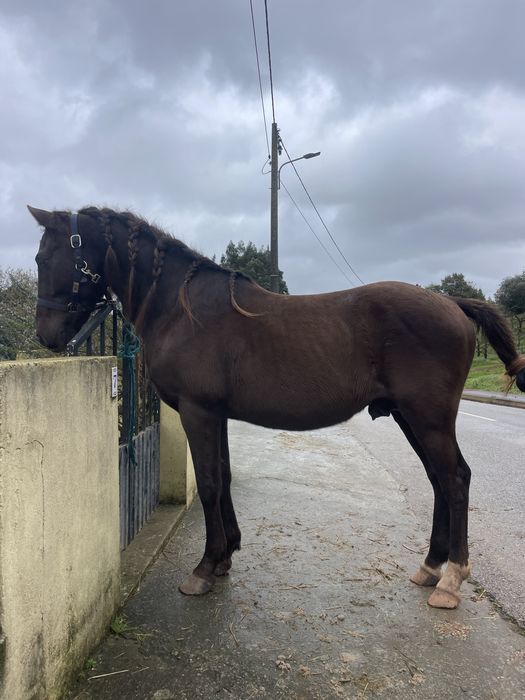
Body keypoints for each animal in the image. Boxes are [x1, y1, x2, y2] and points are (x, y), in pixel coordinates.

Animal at [29, 205, 525, 609]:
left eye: (43, 258)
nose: (46, 337)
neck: (181, 308)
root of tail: (451, 302)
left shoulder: (197, 411)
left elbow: (209, 484)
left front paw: (204, 568)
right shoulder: (215, 414)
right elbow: (224, 478)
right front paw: (226, 556)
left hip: (428, 418)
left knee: (455, 479)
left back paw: (452, 580)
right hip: (410, 417)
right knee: (439, 480)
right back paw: (430, 567)